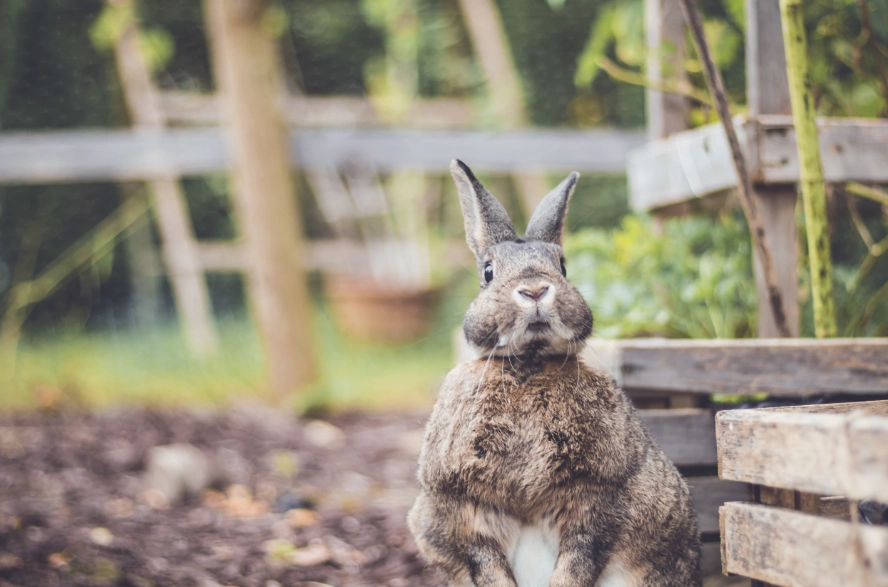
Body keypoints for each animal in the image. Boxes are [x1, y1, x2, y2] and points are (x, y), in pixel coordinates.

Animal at [407, 160, 701, 587]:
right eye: (488, 272)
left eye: (562, 266)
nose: (534, 289)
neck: (529, 364)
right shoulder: (465, 510)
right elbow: (488, 566)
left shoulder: (595, 501)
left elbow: (577, 563)